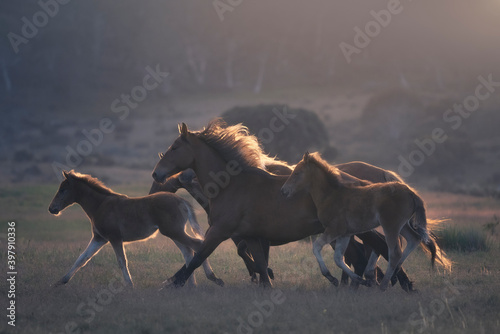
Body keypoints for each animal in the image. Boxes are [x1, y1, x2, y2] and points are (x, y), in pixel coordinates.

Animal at [47, 170, 224, 288]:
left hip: (173, 231)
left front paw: (130, 285)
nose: (52, 208)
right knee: (188, 251)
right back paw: (189, 284)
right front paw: (60, 281)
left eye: (63, 190)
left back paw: (211, 278)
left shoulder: (114, 238)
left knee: (197, 245)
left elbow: (122, 261)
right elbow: (82, 258)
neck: (101, 205)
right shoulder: (99, 238)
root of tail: (182, 201)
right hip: (173, 233)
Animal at [153, 120, 418, 290]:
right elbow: (260, 265)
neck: (231, 185)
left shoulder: (219, 231)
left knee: (380, 249)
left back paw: (391, 283)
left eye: (175, 147)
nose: (157, 174)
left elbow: (198, 257)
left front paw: (173, 284)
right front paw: (266, 285)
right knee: (370, 253)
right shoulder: (250, 236)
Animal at [282, 151, 454, 290]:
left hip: (390, 226)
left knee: (394, 252)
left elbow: (317, 248)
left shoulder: (334, 230)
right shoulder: (345, 234)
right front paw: (359, 280)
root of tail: (411, 192)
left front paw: (332, 277)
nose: (284, 190)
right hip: (403, 225)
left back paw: (383, 284)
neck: (332, 194)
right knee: (413, 240)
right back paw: (392, 275)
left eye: (297, 173)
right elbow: (338, 258)